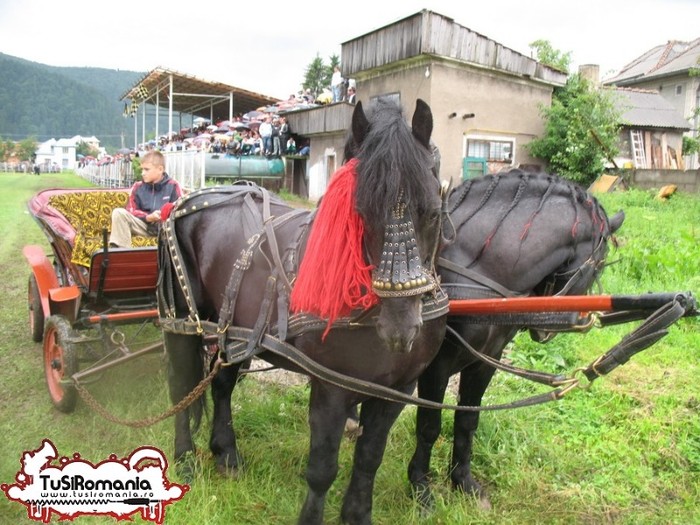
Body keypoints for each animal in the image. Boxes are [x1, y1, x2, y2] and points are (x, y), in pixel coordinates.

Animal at [157, 98, 446, 524]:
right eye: (359, 212)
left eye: (432, 211)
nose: (400, 328)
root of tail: (186, 200)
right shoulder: (330, 388)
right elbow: (322, 469)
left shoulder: (397, 390)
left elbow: (369, 458)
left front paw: (357, 514)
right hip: (181, 322)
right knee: (181, 386)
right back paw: (185, 458)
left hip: (235, 331)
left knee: (222, 384)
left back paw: (226, 452)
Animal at [408, 170, 628, 506]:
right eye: (599, 265)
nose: (550, 328)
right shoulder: (437, 366)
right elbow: (429, 426)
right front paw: (420, 485)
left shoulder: (486, 361)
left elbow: (468, 420)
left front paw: (463, 481)